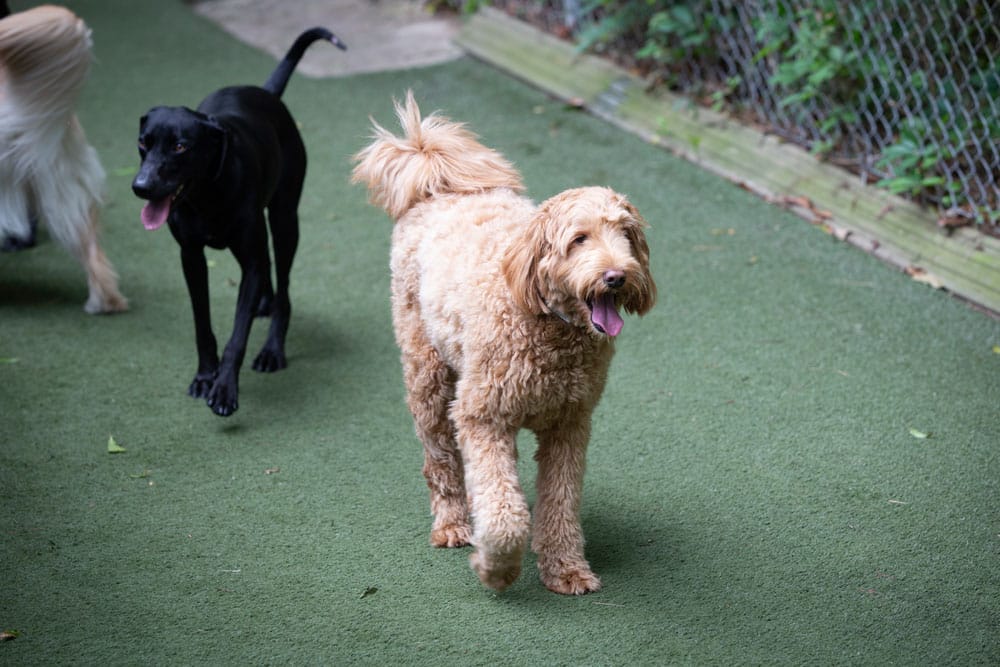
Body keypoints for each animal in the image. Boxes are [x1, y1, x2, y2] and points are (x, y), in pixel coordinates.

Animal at [133, 27, 346, 418]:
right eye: (143, 142)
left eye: (181, 146)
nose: (141, 187)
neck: (206, 194)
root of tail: (266, 92)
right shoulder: (191, 257)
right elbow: (203, 325)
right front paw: (206, 376)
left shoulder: (248, 258)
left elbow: (238, 335)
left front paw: (224, 390)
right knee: (267, 266)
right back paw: (265, 303)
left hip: (284, 219)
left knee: (282, 283)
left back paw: (273, 348)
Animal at [352, 92, 656, 596]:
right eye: (579, 239)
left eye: (626, 236)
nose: (617, 277)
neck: (550, 328)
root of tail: (435, 182)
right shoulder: (483, 418)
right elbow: (503, 516)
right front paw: (495, 567)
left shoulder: (570, 425)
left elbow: (560, 503)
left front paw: (565, 568)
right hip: (429, 376)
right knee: (441, 460)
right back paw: (453, 524)